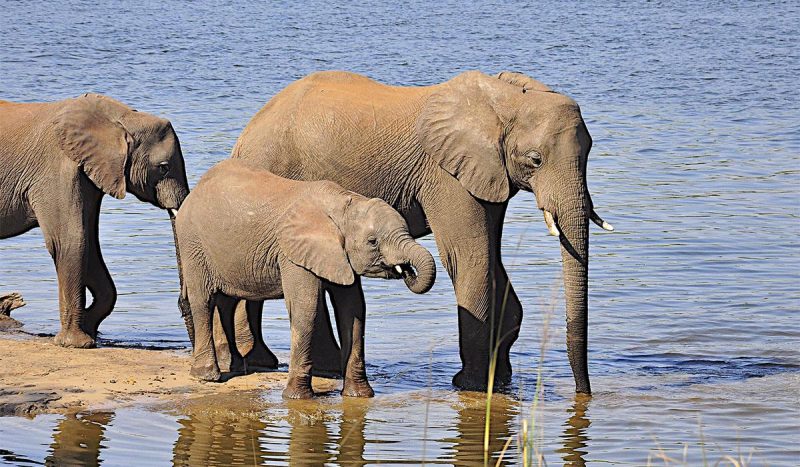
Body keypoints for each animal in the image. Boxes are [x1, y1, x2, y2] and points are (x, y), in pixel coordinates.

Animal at [0, 93, 189, 348]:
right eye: (164, 168)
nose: (181, 304)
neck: (121, 118)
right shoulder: (58, 169)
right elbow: (71, 241)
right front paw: (76, 343)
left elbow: (90, 245)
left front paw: (89, 329)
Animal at [174, 159, 436, 398]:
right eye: (373, 241)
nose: (406, 271)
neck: (343, 204)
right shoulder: (292, 254)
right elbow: (305, 307)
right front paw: (297, 397)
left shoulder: (338, 256)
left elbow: (353, 310)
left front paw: (360, 395)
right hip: (192, 244)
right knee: (204, 301)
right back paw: (207, 376)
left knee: (227, 302)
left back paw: (237, 367)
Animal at [231, 70, 613, 393]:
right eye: (535, 159)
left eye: (591, 151)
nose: (583, 394)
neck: (504, 99)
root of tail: (247, 131)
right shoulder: (446, 175)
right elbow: (469, 258)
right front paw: (471, 385)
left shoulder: (488, 174)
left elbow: (493, 259)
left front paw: (500, 377)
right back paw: (263, 362)